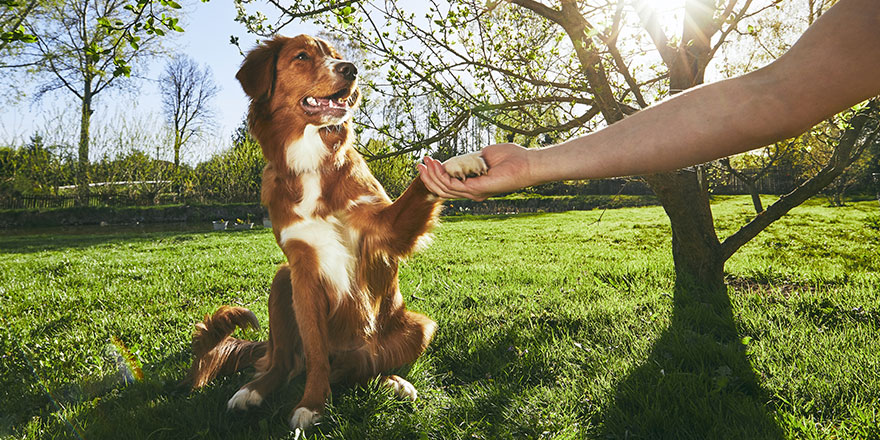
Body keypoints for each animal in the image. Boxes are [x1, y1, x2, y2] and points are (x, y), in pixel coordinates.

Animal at [183, 35, 492, 430]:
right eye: (302, 56)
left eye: (335, 55)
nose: (351, 69)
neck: (312, 161)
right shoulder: (302, 269)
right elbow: (315, 352)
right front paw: (313, 404)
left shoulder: (385, 230)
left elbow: (421, 182)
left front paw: (457, 163)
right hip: (282, 281)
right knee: (284, 363)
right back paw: (252, 391)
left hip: (419, 327)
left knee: (364, 368)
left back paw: (392, 382)